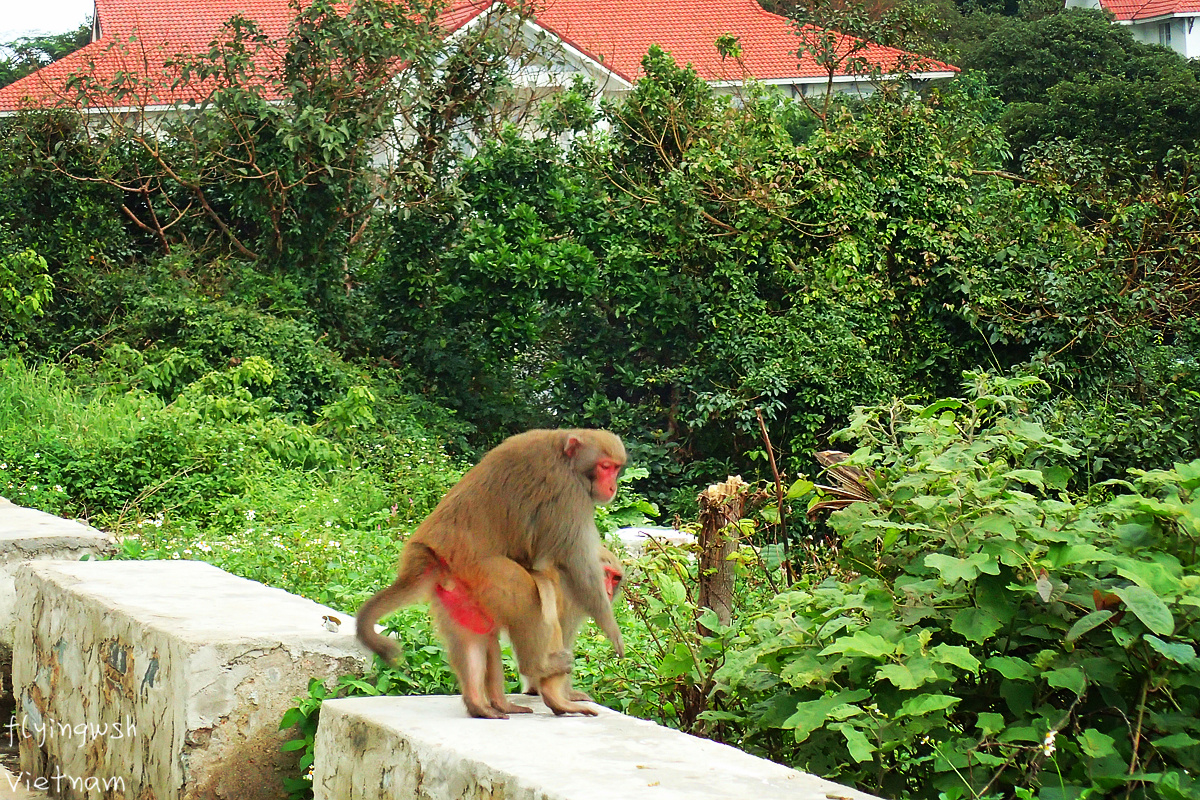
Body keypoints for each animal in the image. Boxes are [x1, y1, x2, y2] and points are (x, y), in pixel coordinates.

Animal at [352, 431, 628, 719]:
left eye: (616, 468)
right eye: (605, 467)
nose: (612, 487)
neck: (565, 453)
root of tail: (430, 554)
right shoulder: (568, 492)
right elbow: (575, 564)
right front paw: (611, 631)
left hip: (460, 589)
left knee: (476, 635)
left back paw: (482, 704)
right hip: (483, 570)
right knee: (528, 597)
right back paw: (540, 672)